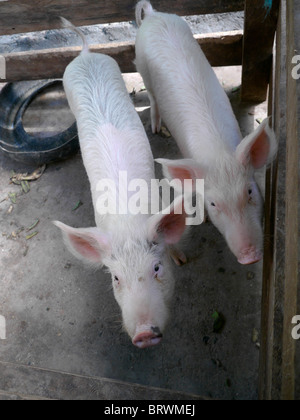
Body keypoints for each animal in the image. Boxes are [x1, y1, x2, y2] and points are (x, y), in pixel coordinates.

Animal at [54, 18, 189, 350]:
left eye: (156, 268)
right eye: (116, 279)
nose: (143, 334)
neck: (128, 223)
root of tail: (86, 53)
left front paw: (182, 259)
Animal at [135, 0, 278, 266]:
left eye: (250, 191)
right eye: (213, 203)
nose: (250, 257)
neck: (218, 153)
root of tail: (152, 15)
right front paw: (202, 219)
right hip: (140, 65)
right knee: (151, 96)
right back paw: (156, 127)